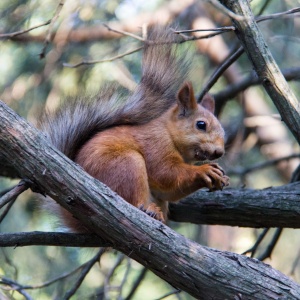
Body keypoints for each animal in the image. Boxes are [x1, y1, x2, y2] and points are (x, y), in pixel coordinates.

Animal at [41, 26, 230, 232]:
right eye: (201, 125)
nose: (219, 152)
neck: (168, 133)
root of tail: (78, 220)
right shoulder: (155, 146)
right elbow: (166, 174)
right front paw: (203, 170)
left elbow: (170, 191)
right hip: (126, 165)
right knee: (133, 200)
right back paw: (149, 210)